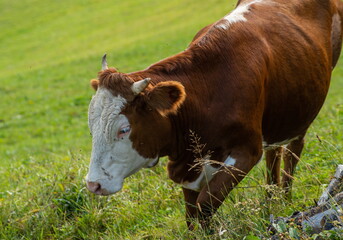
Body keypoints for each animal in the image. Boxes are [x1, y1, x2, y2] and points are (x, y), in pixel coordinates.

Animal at [86, 0, 343, 229]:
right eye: (92, 129)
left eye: (124, 129)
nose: (93, 184)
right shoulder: (188, 164)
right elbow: (192, 217)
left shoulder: (246, 152)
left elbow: (205, 205)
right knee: (274, 152)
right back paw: (272, 200)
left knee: (293, 149)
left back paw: (285, 198)